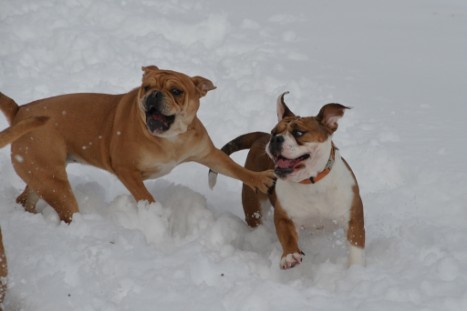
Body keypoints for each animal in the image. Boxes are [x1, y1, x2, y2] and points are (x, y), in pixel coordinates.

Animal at [0, 67, 276, 225]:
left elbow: (235, 168)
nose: (153, 94)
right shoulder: (126, 170)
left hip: (42, 174)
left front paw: (260, 178)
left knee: (26, 198)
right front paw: (156, 216)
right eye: (146, 87)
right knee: (66, 211)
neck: (171, 139)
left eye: (177, 91)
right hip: (54, 180)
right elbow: (147, 197)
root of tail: (20, 111)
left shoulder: (209, 154)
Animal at [210, 92, 368, 270]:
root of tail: (261, 137)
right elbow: (287, 237)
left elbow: (355, 246)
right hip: (254, 205)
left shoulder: (353, 218)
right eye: (274, 132)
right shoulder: (284, 217)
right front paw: (290, 256)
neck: (311, 182)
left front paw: (355, 269)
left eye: (299, 133)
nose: (275, 139)